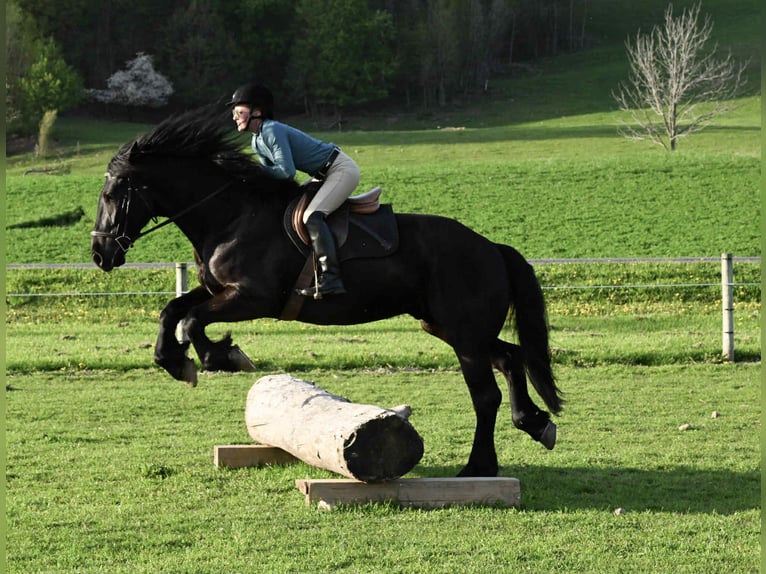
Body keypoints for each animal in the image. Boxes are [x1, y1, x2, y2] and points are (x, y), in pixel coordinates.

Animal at [90, 107, 563, 477]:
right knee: (510, 357)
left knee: (486, 394)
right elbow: (174, 311)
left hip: (463, 333)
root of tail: (491, 247)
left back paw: (479, 466)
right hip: (447, 325)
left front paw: (217, 357)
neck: (230, 217)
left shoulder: (252, 297)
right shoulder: (218, 289)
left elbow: (192, 320)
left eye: (111, 194)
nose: (99, 255)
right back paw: (535, 423)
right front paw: (176, 361)